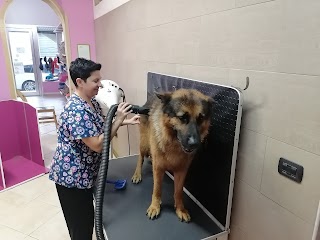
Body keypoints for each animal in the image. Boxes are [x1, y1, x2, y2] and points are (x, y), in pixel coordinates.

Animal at [131, 88, 214, 223]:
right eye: (182, 117)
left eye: (201, 118)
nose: (194, 144)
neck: (174, 145)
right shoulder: (158, 168)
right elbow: (157, 189)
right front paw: (155, 206)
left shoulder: (181, 171)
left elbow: (178, 192)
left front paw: (180, 209)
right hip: (144, 144)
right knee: (140, 158)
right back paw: (137, 174)